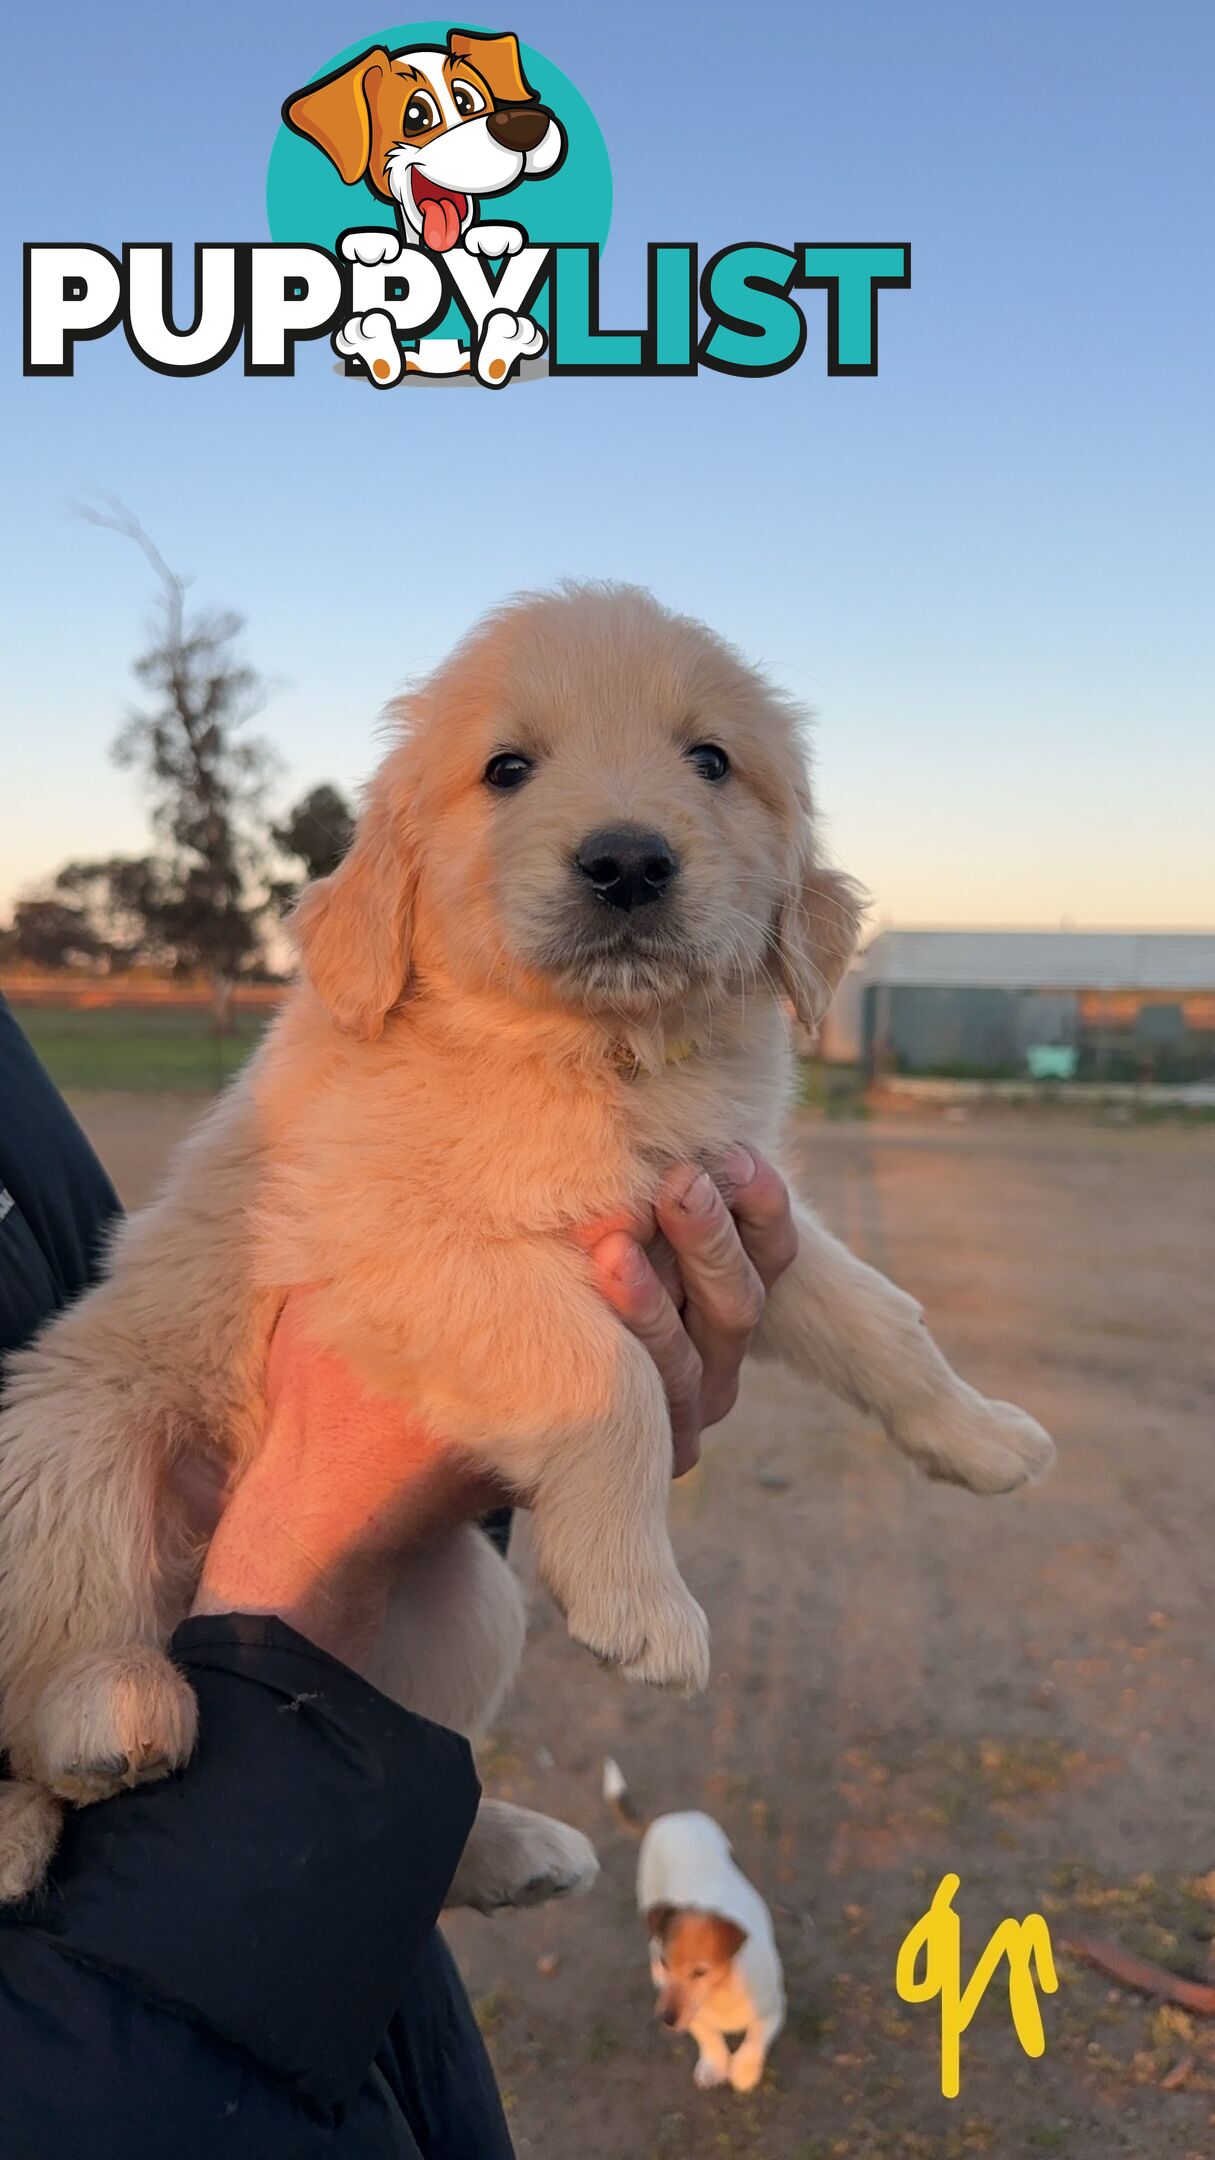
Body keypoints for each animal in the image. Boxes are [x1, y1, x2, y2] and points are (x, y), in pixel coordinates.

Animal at [0, 583, 1046, 1900]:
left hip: (468, 1604)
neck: (592, 1055)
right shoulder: (401, 1258)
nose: (629, 861)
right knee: (49, 1688)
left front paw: (979, 1434)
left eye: (711, 760)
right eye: (507, 768)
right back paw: (106, 1717)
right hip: (75, 1444)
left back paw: (514, 1851)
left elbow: (881, 1317)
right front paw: (643, 1604)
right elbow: (612, 1382)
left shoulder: (733, 1201)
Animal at [639, 1805, 778, 2090]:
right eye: (666, 1962)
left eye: (700, 1972)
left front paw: (744, 2071)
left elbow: (755, 2037)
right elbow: (708, 2036)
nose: (665, 2019)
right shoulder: (693, 2015)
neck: (722, 1990)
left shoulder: (774, 2010)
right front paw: (714, 2066)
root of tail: (675, 1817)